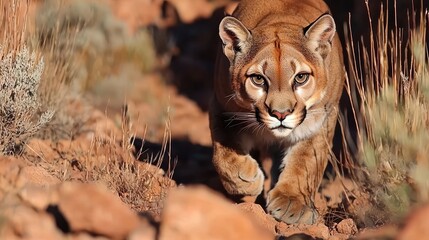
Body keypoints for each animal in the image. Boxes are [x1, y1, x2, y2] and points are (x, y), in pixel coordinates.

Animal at [208, 0, 344, 225]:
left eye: (300, 78)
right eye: (258, 79)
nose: (280, 114)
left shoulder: (322, 118)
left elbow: (306, 160)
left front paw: (292, 202)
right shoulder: (222, 108)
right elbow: (224, 153)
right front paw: (245, 179)